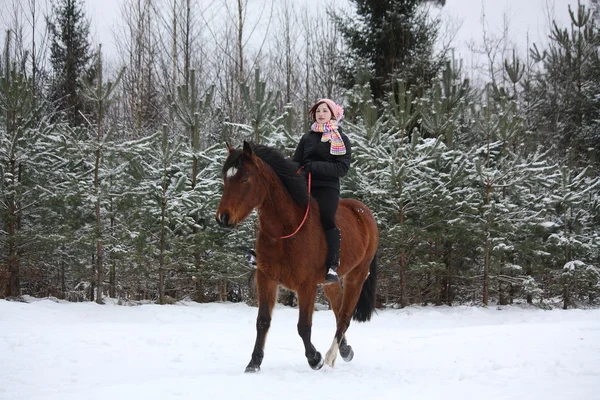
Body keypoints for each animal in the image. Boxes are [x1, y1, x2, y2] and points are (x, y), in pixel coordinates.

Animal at [214, 141, 376, 372]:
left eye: (245, 179)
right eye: (225, 179)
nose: (223, 218)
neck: (286, 230)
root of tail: (363, 212)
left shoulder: (306, 285)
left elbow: (303, 326)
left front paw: (315, 358)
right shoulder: (266, 279)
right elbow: (262, 321)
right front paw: (254, 363)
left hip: (357, 275)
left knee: (344, 317)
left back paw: (330, 356)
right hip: (330, 283)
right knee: (338, 313)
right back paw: (345, 351)